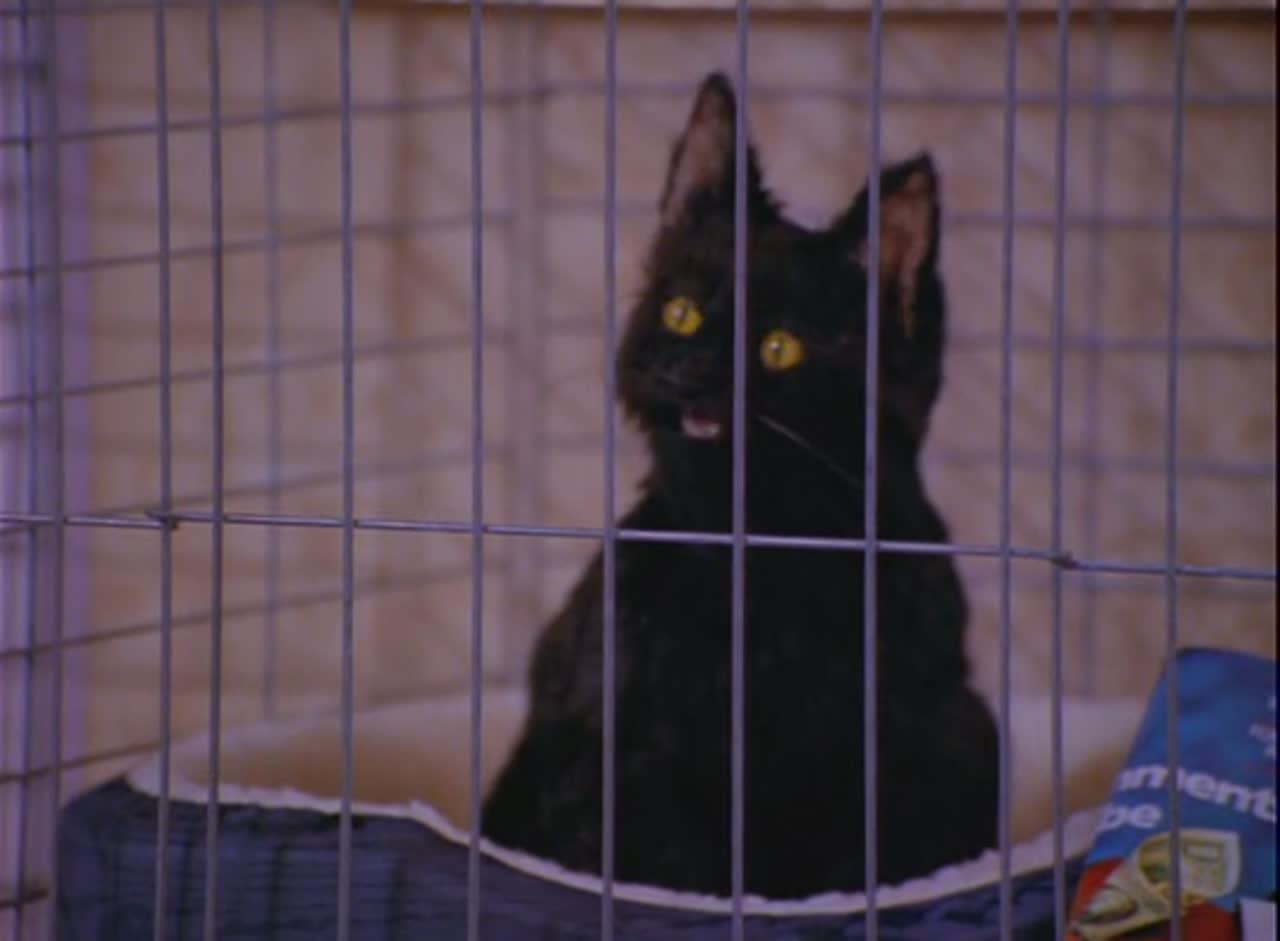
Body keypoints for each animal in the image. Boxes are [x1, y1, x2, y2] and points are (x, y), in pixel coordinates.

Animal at [480, 71, 998, 899]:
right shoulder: (618, 757)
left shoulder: (894, 764)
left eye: (779, 347)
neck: (759, 559)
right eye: (680, 310)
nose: (686, 368)